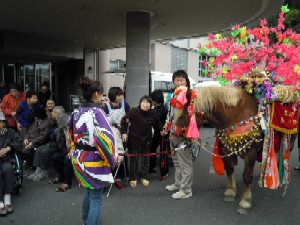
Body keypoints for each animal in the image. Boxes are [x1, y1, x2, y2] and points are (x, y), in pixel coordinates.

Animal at [171, 85, 298, 214]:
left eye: (182, 116)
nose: (172, 141)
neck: (236, 117)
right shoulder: (225, 149)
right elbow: (229, 169)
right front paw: (230, 191)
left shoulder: (251, 154)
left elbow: (247, 176)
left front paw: (245, 202)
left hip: (290, 139)